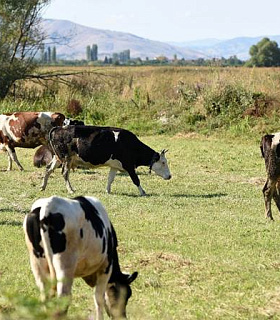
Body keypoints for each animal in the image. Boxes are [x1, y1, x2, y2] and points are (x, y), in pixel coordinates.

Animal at [40, 125, 172, 195]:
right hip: (66, 158)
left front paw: (108, 190)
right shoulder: (129, 165)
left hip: (58, 158)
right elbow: (136, 180)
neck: (130, 144)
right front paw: (143, 192)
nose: (170, 176)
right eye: (163, 162)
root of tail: (58, 128)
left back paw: (43, 186)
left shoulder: (114, 166)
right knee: (65, 173)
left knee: (48, 169)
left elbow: (110, 179)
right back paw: (70, 190)